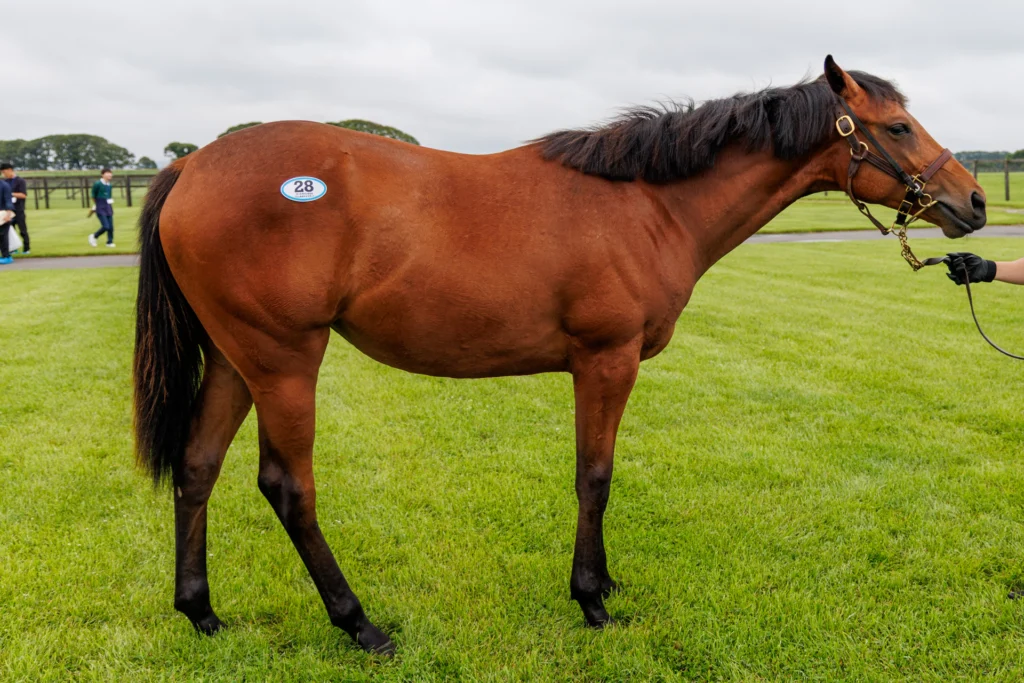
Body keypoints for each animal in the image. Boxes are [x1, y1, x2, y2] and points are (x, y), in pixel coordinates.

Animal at [133, 56, 986, 655]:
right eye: (898, 127)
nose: (974, 202)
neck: (646, 202)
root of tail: (192, 164)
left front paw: (603, 579)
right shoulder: (607, 361)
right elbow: (595, 476)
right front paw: (592, 598)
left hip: (236, 359)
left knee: (198, 466)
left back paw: (202, 612)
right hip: (283, 360)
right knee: (288, 487)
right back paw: (360, 624)